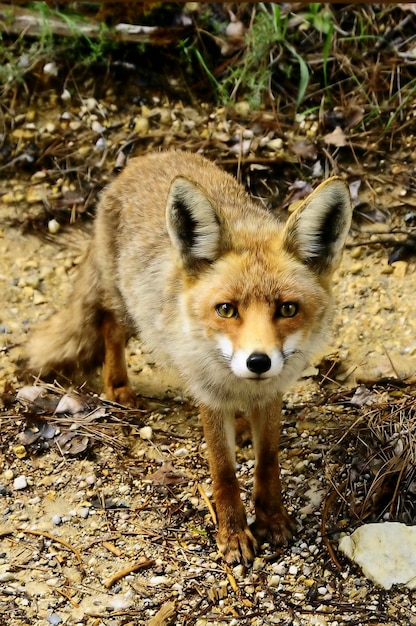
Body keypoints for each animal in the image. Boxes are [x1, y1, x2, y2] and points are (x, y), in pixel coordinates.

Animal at [26, 152, 352, 564]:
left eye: (288, 308)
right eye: (226, 309)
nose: (258, 362)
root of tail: (147, 157)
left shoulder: (271, 394)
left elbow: (268, 462)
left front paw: (272, 518)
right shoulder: (209, 393)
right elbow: (223, 472)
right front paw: (234, 533)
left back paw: (240, 424)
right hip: (125, 304)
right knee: (110, 328)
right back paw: (118, 388)